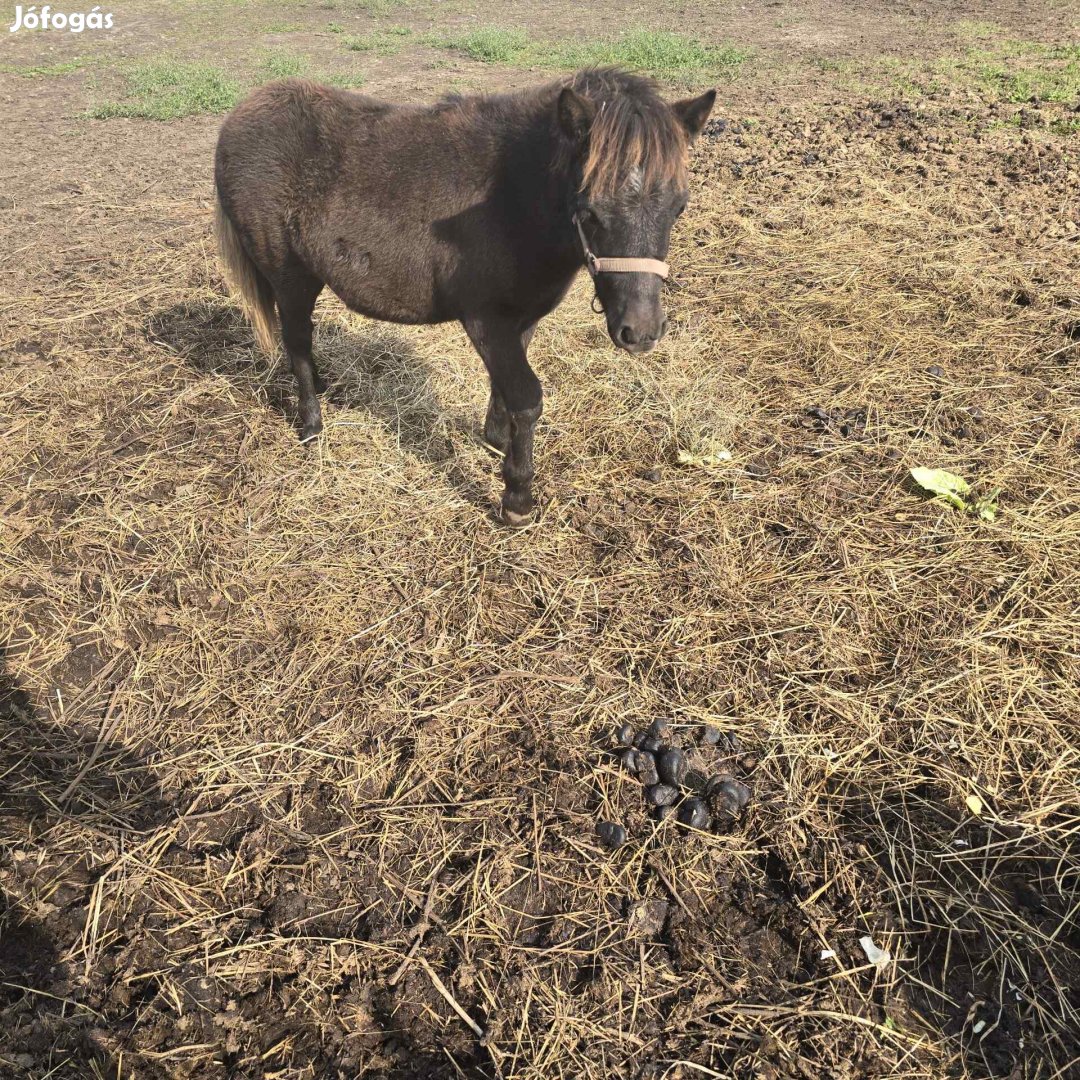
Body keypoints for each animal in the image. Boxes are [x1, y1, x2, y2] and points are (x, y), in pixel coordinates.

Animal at [213, 67, 712, 522]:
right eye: (590, 212)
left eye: (679, 207)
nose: (641, 332)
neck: (513, 196)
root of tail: (237, 117)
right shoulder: (486, 320)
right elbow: (527, 397)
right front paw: (517, 498)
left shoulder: (521, 319)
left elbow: (505, 390)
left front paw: (496, 441)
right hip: (290, 277)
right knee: (297, 341)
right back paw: (312, 425)